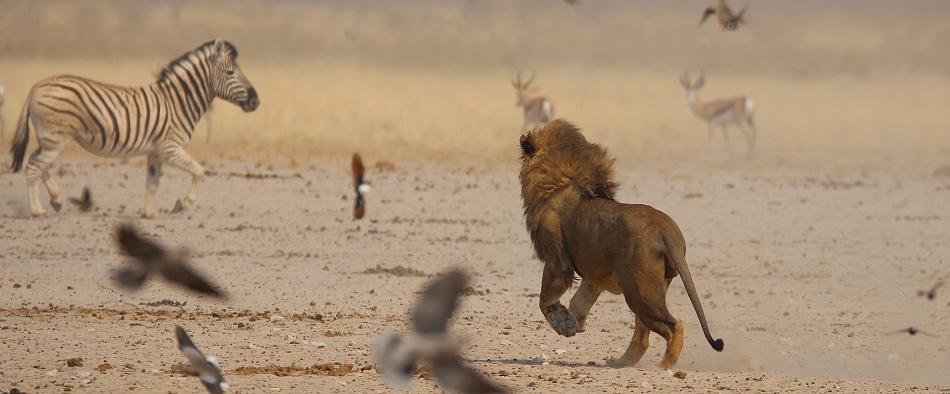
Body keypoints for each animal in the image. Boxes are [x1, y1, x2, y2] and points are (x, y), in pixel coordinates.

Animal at [9, 39, 260, 219]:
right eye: (230, 73)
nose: (256, 101)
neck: (178, 102)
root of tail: (35, 87)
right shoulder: (170, 147)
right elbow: (199, 171)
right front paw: (182, 203)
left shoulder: (155, 151)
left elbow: (152, 182)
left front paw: (150, 214)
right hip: (55, 138)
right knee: (34, 167)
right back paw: (37, 211)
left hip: (49, 138)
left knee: (41, 164)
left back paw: (57, 198)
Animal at [520, 119, 720, 370]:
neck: (561, 183)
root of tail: (665, 229)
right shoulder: (595, 273)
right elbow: (582, 297)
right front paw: (573, 321)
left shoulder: (557, 261)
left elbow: (545, 298)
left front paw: (561, 322)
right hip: (649, 289)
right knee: (643, 337)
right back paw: (619, 363)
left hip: (641, 293)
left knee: (674, 326)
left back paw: (662, 367)